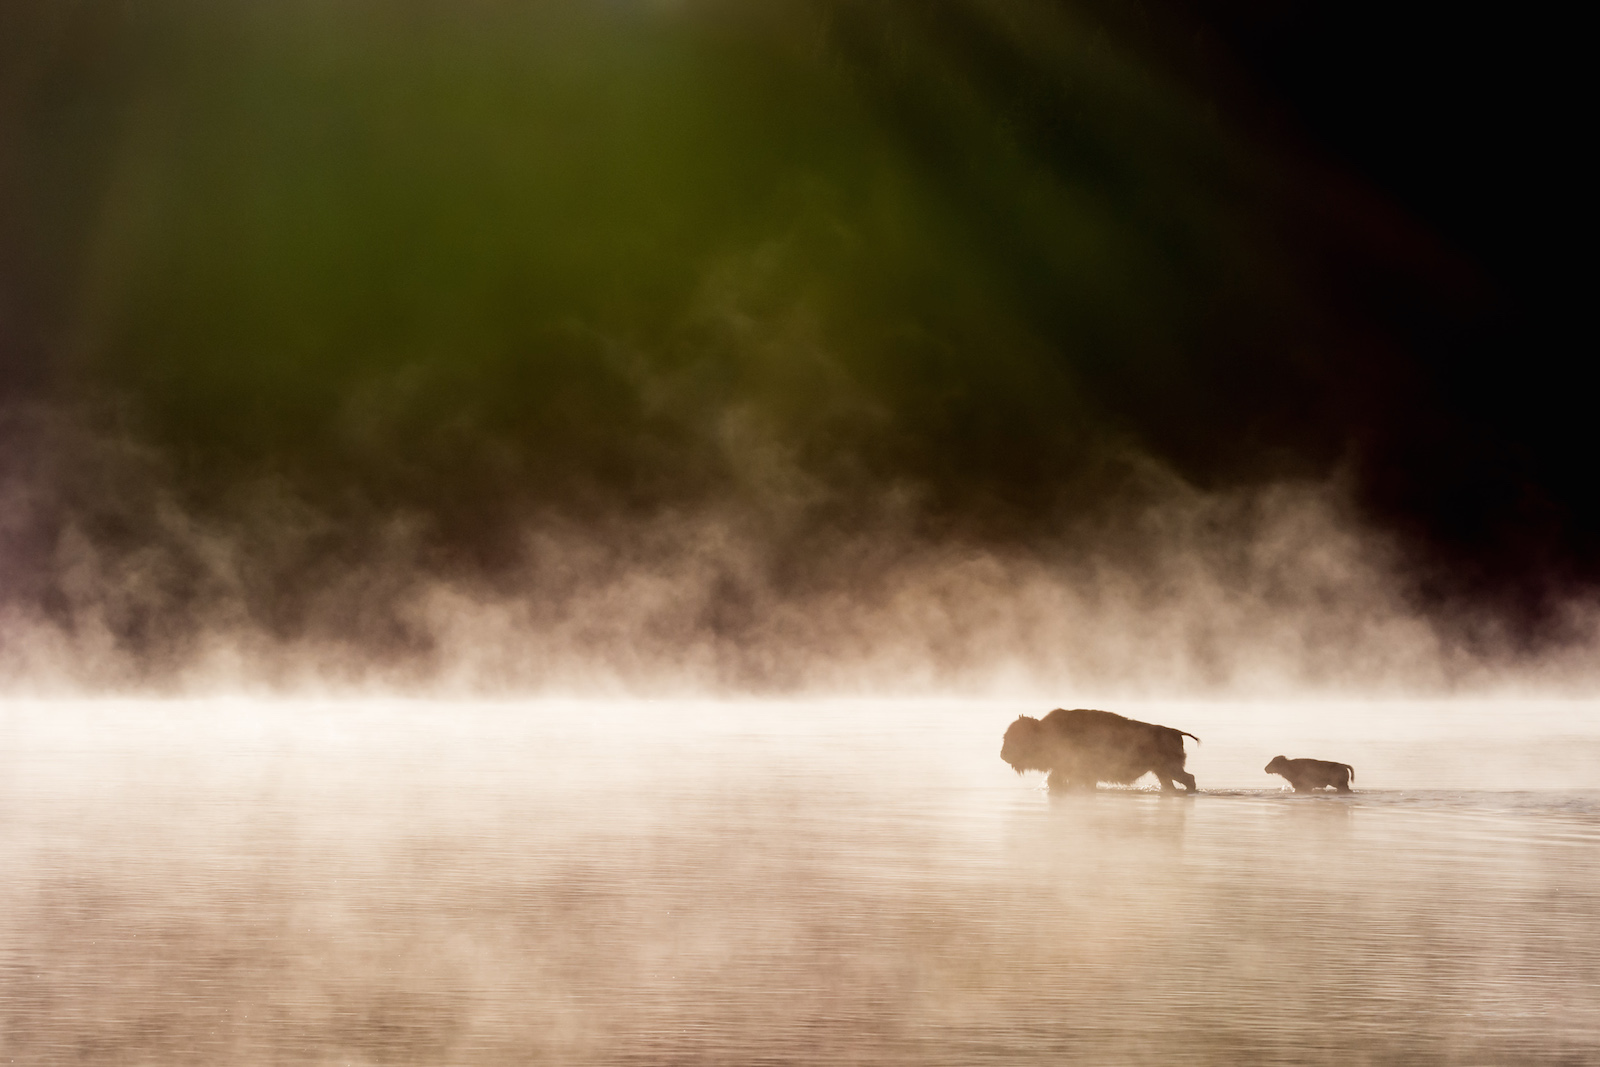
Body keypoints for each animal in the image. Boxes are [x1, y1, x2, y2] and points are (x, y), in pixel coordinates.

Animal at [998, 710, 1203, 793]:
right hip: (1162, 772)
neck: (1045, 731)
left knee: (1189, 779)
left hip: (1170, 769)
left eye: (1017, 738)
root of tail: (1176, 732)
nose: (1003, 754)